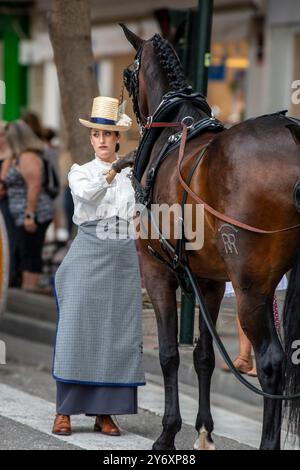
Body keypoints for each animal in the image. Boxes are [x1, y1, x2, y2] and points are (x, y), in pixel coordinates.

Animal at [120, 23, 300, 450]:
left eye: (128, 74)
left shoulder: (156, 271)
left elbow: (169, 353)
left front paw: (168, 431)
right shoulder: (210, 281)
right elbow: (202, 355)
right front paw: (204, 430)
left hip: (252, 289)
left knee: (272, 364)